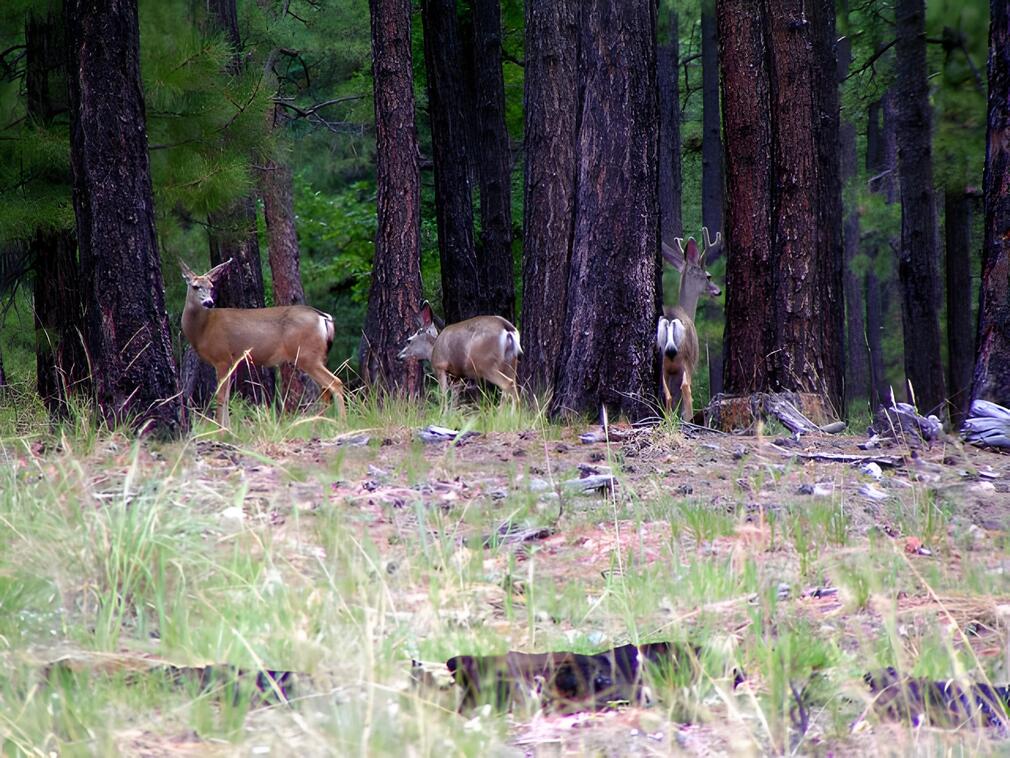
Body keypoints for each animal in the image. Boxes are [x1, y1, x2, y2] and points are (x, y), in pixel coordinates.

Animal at [180, 259, 345, 428]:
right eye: (195, 286)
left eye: (211, 286)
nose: (209, 302)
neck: (203, 330)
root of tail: (323, 316)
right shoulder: (231, 362)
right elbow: (226, 398)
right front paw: (228, 428)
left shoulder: (222, 358)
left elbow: (220, 398)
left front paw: (223, 430)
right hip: (318, 356)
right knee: (325, 388)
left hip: (306, 355)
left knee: (335, 383)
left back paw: (341, 423)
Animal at [656, 227, 722, 420]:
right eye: (708, 276)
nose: (718, 291)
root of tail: (670, 320)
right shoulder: (693, 361)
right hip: (685, 359)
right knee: (685, 389)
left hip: (662, 361)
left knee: (667, 395)